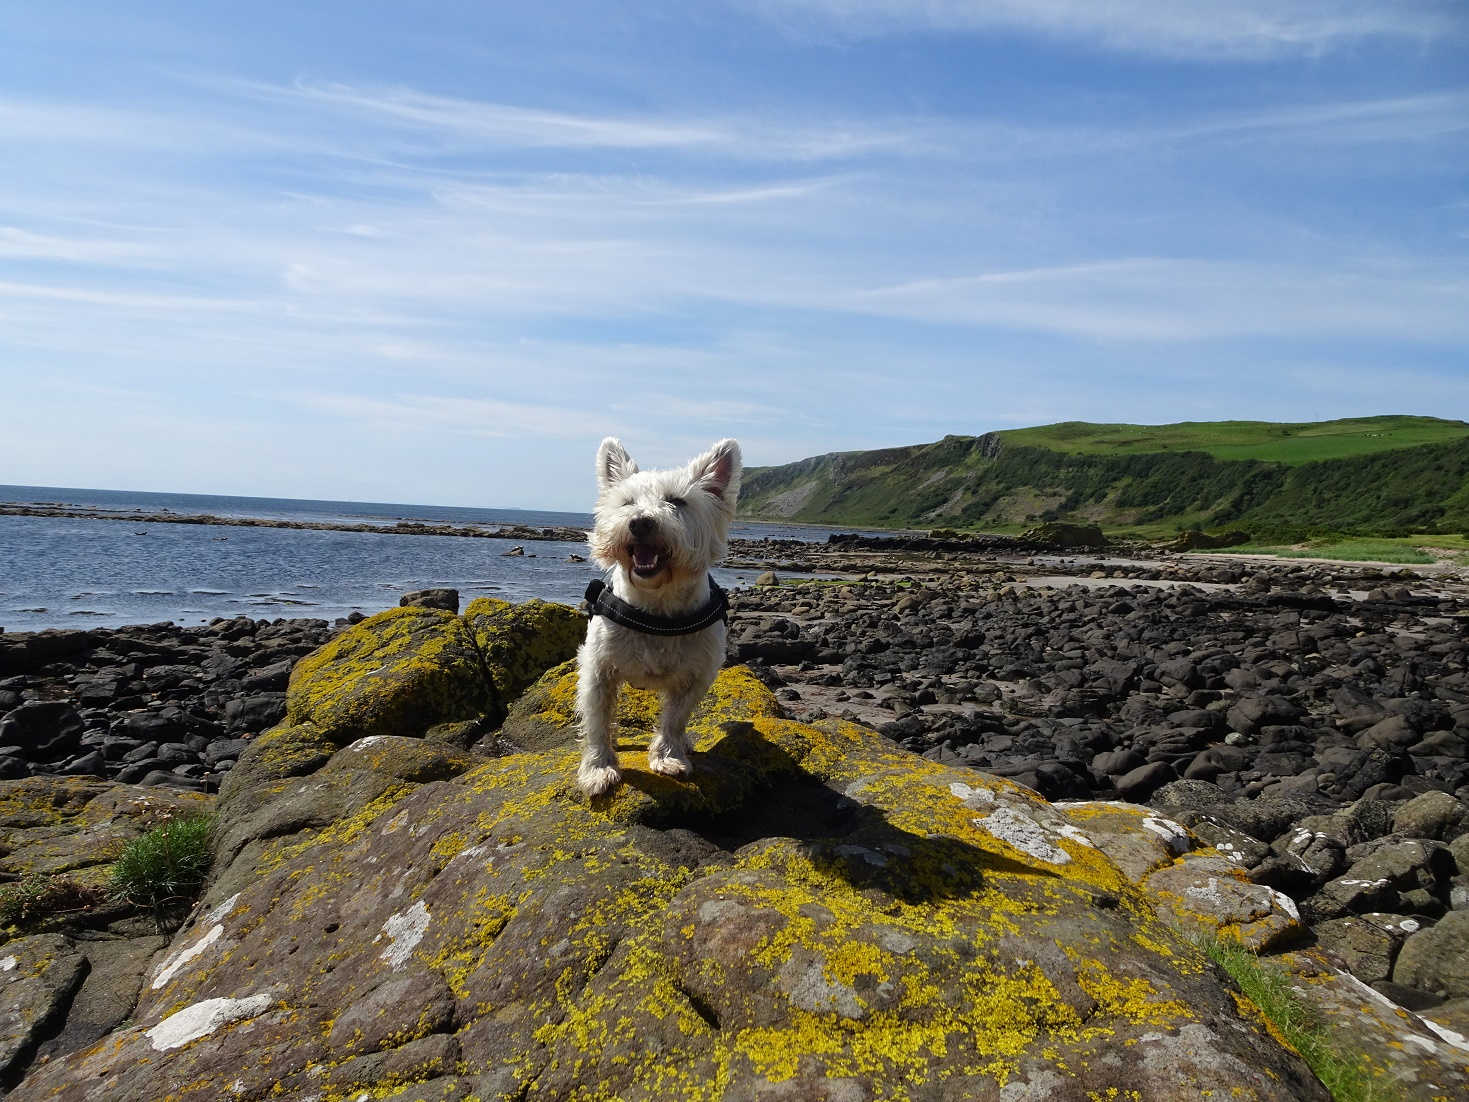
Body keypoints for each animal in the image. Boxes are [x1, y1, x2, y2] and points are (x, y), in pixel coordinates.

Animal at [569, 434, 740, 799]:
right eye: (627, 502)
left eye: (677, 501)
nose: (640, 522)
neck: (657, 609)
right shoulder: (598, 670)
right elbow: (597, 720)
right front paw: (598, 769)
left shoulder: (696, 675)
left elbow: (675, 719)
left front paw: (669, 757)